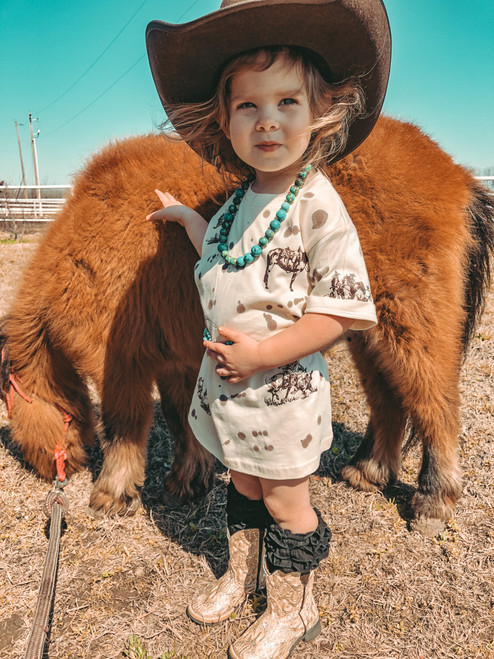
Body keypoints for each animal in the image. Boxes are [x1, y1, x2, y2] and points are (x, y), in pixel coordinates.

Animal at [0, 117, 494, 536]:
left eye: (7, 400)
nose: (50, 469)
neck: (86, 242)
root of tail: (456, 174)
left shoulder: (120, 362)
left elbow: (124, 424)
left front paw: (112, 493)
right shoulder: (177, 358)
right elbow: (181, 420)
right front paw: (187, 482)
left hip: (411, 325)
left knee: (436, 401)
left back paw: (433, 502)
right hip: (367, 334)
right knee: (389, 398)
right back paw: (367, 472)